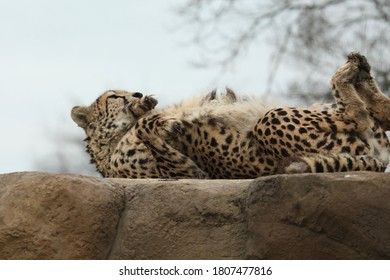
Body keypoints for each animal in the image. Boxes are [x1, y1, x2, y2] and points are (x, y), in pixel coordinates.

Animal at [71, 52, 388, 178]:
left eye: (127, 91)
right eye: (113, 96)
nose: (137, 94)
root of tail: (380, 158)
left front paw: (157, 111)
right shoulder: (192, 173)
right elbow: (151, 129)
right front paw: (166, 121)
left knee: (379, 114)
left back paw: (359, 69)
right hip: (272, 122)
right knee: (359, 116)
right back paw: (350, 75)